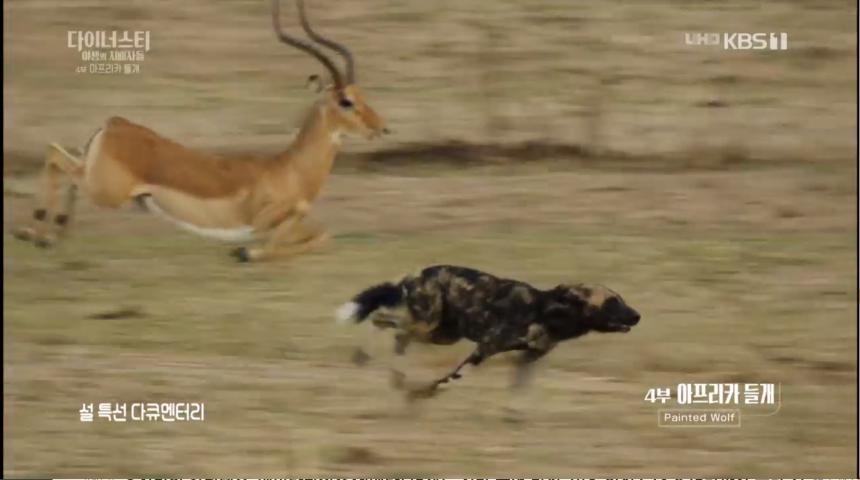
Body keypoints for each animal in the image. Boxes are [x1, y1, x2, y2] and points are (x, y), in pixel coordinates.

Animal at [336, 266, 640, 398]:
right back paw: (363, 357)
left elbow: (518, 393)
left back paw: (396, 377)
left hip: (442, 334)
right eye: (612, 303)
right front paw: (426, 393)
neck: (546, 311)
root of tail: (417, 274)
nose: (638, 315)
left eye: (621, 300)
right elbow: (452, 378)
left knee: (398, 335)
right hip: (428, 324)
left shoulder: (527, 359)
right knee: (379, 319)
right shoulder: (485, 348)